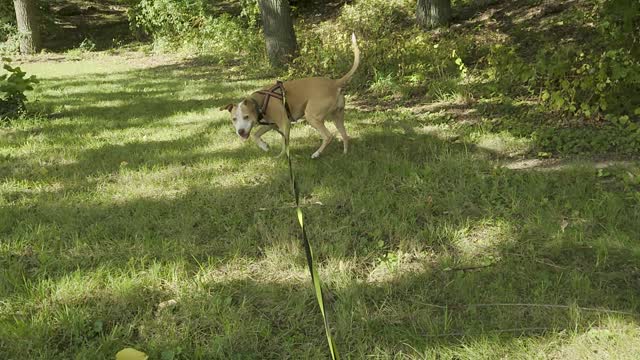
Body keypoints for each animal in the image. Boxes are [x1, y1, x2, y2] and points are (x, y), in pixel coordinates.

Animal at [220, 33, 360, 158]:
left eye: (246, 116)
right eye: (234, 119)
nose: (240, 132)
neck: (261, 101)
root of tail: (335, 83)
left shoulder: (284, 124)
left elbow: (284, 143)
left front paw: (282, 157)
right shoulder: (271, 124)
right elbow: (255, 135)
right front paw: (264, 146)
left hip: (312, 116)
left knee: (328, 136)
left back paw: (316, 153)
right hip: (337, 116)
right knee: (345, 135)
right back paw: (345, 153)